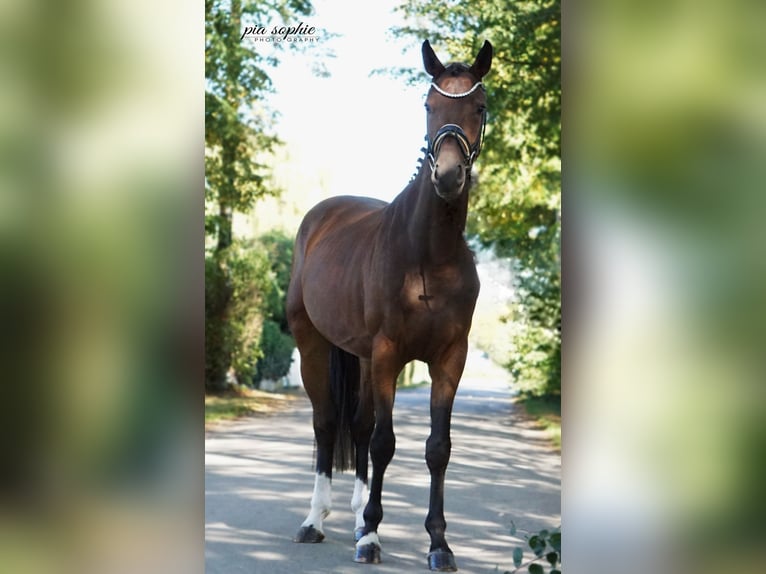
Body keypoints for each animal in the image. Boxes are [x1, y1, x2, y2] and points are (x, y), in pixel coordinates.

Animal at [287, 39, 493, 572]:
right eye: (429, 105)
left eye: (479, 107)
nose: (448, 175)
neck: (428, 256)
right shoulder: (387, 354)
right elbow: (384, 443)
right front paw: (372, 539)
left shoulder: (450, 359)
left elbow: (436, 447)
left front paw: (438, 544)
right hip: (313, 344)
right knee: (326, 424)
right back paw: (315, 520)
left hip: (358, 356)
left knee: (357, 426)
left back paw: (359, 515)